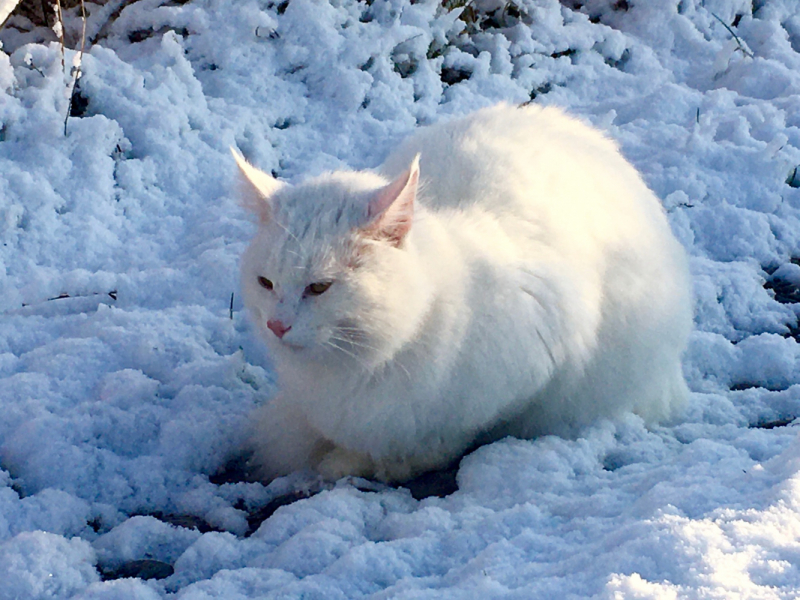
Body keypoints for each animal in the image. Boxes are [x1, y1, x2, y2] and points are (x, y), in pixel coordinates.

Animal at [233, 103, 692, 482]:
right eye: (265, 283)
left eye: (319, 287)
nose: (276, 325)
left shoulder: (532, 367)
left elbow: (443, 440)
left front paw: (371, 464)